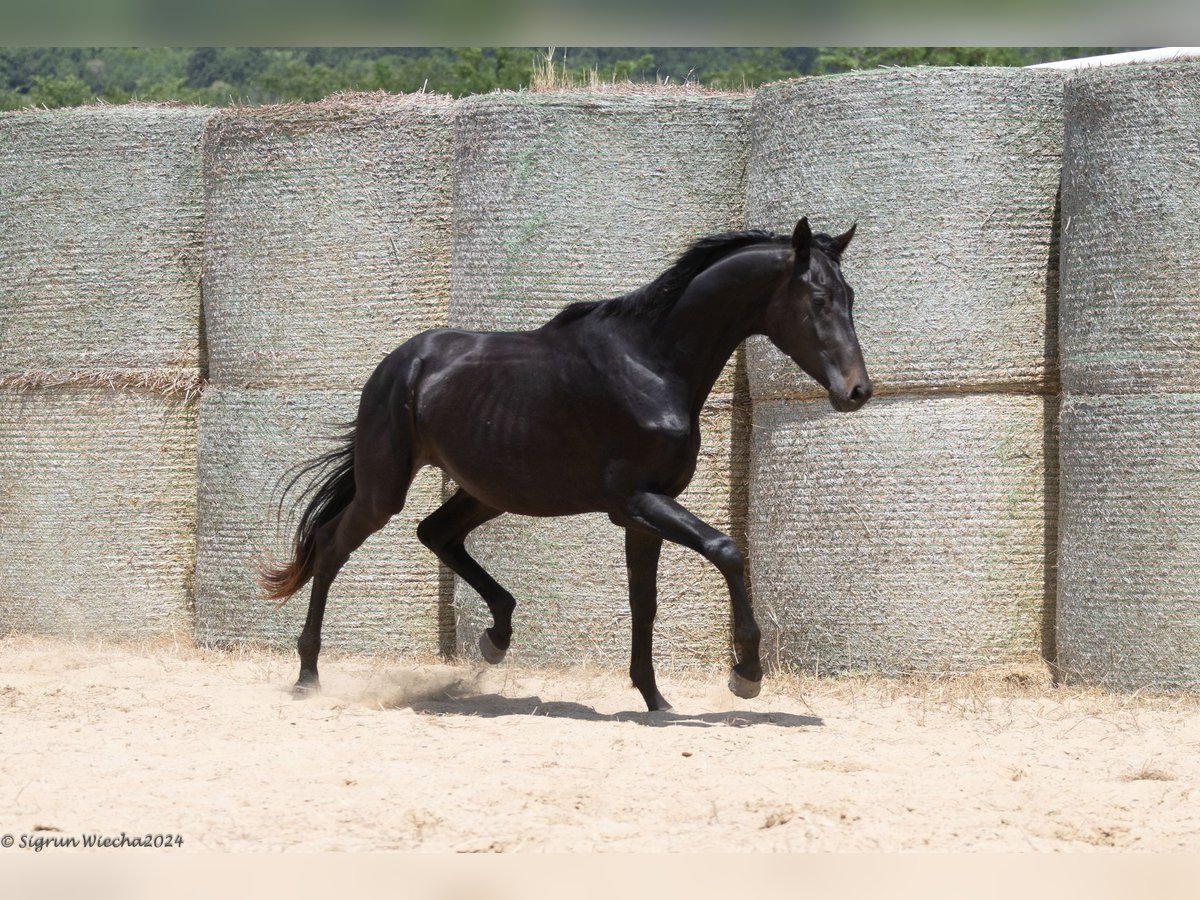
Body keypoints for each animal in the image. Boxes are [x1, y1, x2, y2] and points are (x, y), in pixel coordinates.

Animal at [265, 218, 873, 710]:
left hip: (487, 492)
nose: (857, 391)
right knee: (332, 547)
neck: (652, 365)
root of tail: (398, 363)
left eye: (849, 297)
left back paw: (496, 636)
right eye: (818, 300)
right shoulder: (635, 500)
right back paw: (306, 675)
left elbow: (644, 602)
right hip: (383, 489)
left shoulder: (642, 513)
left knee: (435, 532)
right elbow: (726, 550)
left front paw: (654, 699)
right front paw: (746, 674)